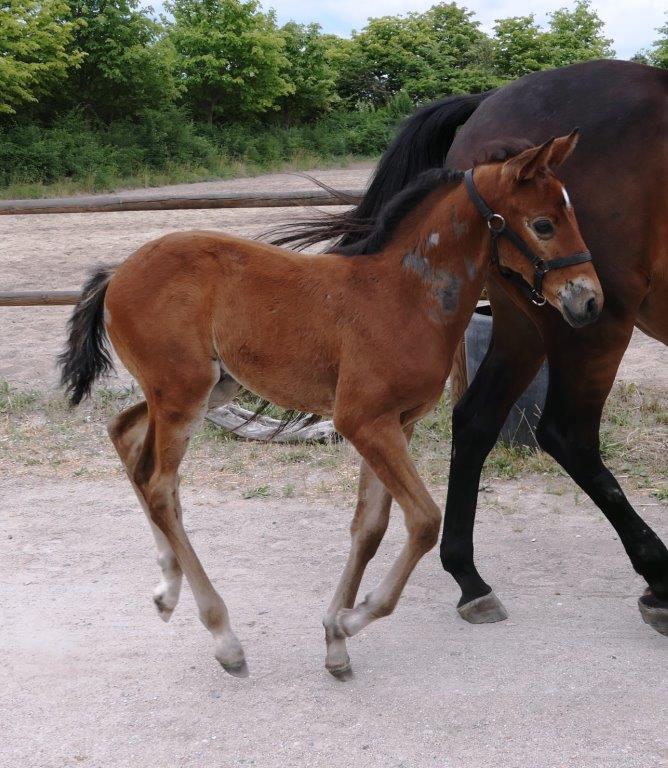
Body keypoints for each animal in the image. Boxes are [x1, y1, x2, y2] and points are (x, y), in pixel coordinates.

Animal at [61, 132, 600, 680]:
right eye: (543, 223)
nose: (589, 301)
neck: (405, 296)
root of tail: (118, 273)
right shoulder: (364, 421)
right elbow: (424, 521)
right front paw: (353, 619)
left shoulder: (396, 424)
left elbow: (370, 527)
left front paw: (335, 639)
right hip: (182, 394)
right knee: (160, 488)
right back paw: (224, 636)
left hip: (200, 389)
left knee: (128, 441)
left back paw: (167, 590)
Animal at [274, 61, 664, 636]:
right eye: (544, 222)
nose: (588, 296)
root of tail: (489, 100)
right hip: (584, 327)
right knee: (567, 434)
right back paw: (657, 579)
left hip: (529, 321)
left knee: (477, 419)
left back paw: (470, 580)